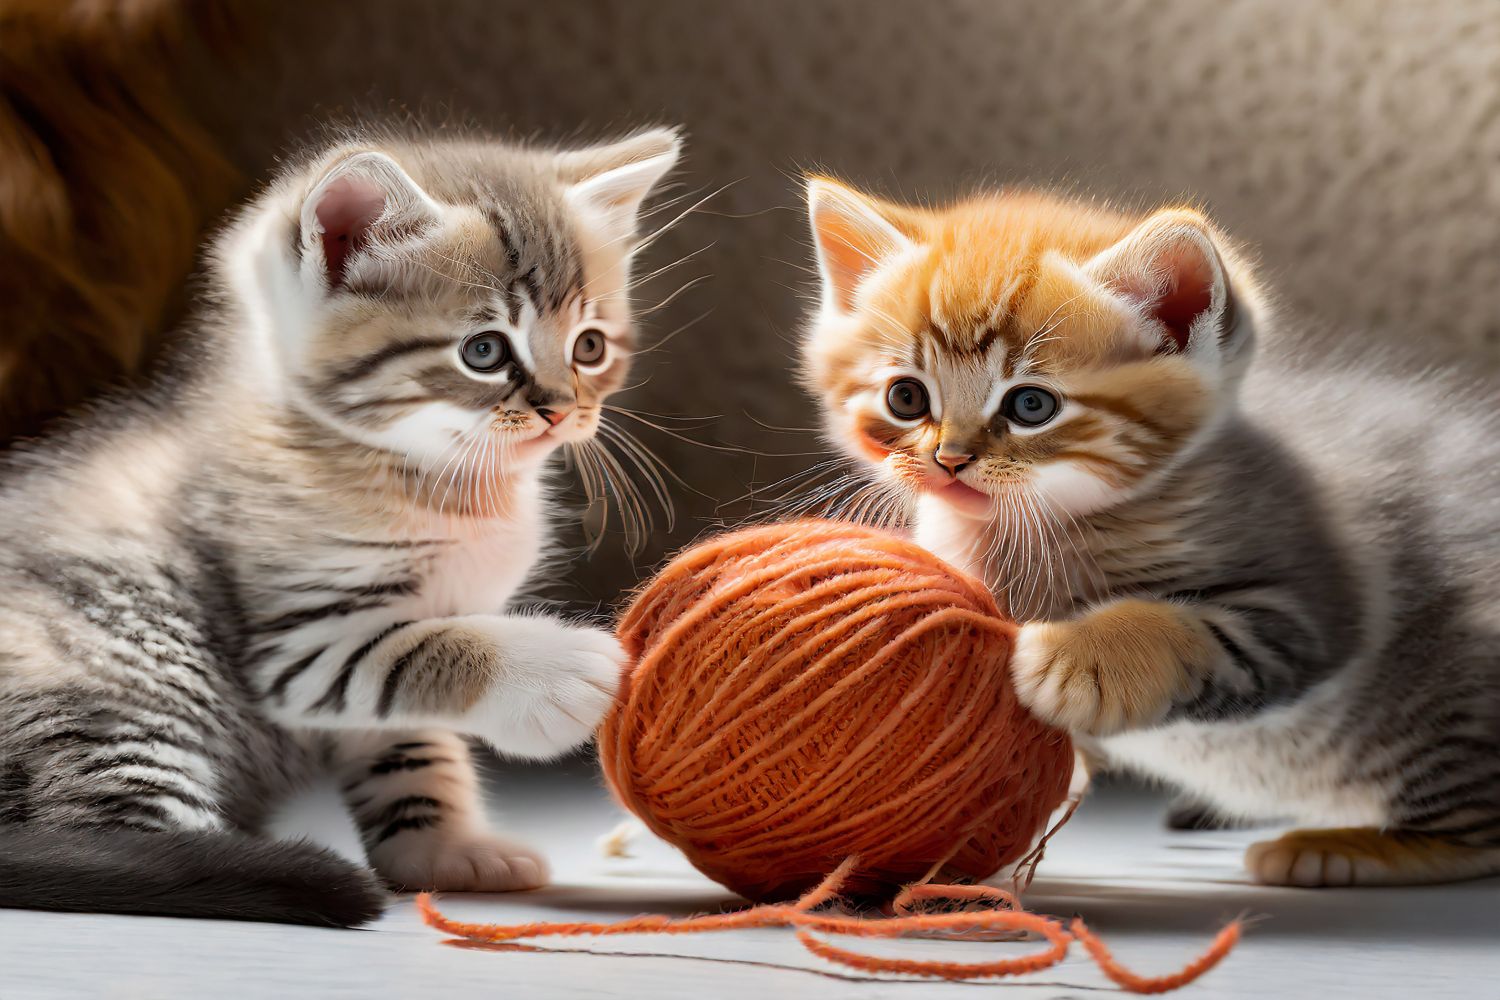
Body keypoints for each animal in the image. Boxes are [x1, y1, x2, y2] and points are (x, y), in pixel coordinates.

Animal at [0, 127, 681, 929]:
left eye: (589, 348)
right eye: (484, 351)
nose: (560, 410)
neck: (445, 481)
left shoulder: (402, 647)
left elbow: (412, 745)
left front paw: (444, 849)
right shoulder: (300, 643)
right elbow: (426, 653)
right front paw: (553, 671)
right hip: (117, 681)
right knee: (102, 835)